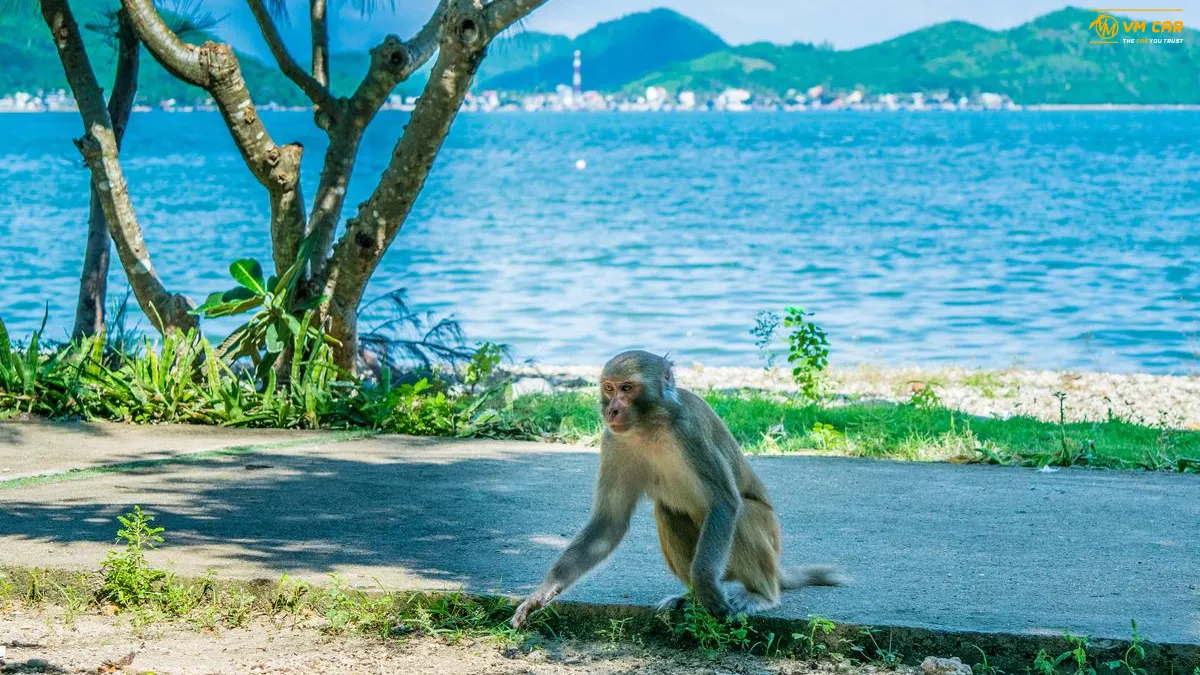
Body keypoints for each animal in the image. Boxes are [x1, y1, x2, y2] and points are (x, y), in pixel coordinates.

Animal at [511, 350, 841, 628]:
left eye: (627, 388)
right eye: (609, 388)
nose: (612, 410)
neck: (650, 426)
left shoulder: (689, 430)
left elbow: (723, 502)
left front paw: (706, 586)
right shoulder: (613, 441)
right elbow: (609, 522)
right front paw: (542, 593)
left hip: (767, 538)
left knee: (744, 513)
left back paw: (759, 594)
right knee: (668, 512)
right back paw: (690, 598)